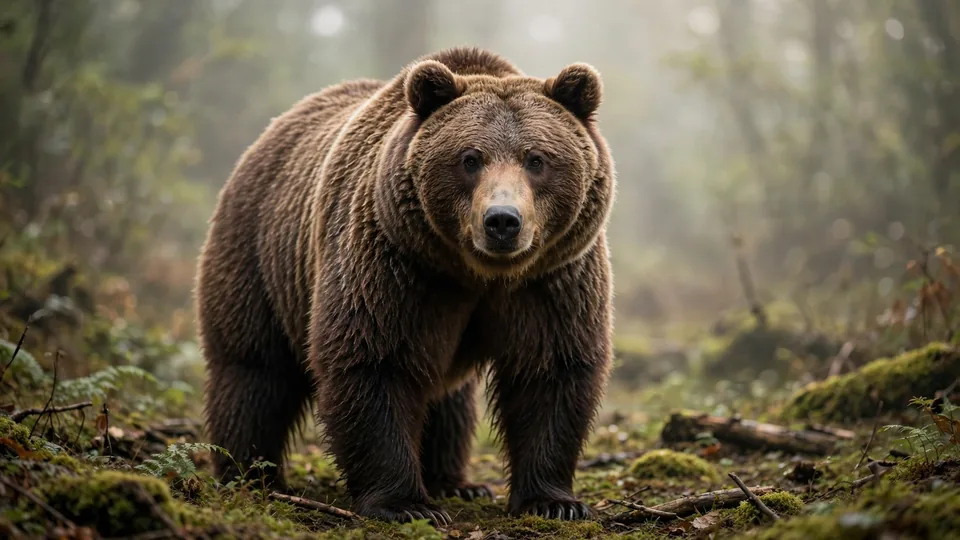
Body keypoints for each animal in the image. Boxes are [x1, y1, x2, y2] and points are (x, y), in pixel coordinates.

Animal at [194, 46, 616, 525]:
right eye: (470, 158)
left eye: (537, 159)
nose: (502, 221)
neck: (476, 273)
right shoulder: (393, 265)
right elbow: (374, 361)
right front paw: (406, 505)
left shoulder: (551, 278)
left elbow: (550, 369)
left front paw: (554, 501)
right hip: (259, 256)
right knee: (253, 371)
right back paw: (250, 475)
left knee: (449, 399)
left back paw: (455, 481)